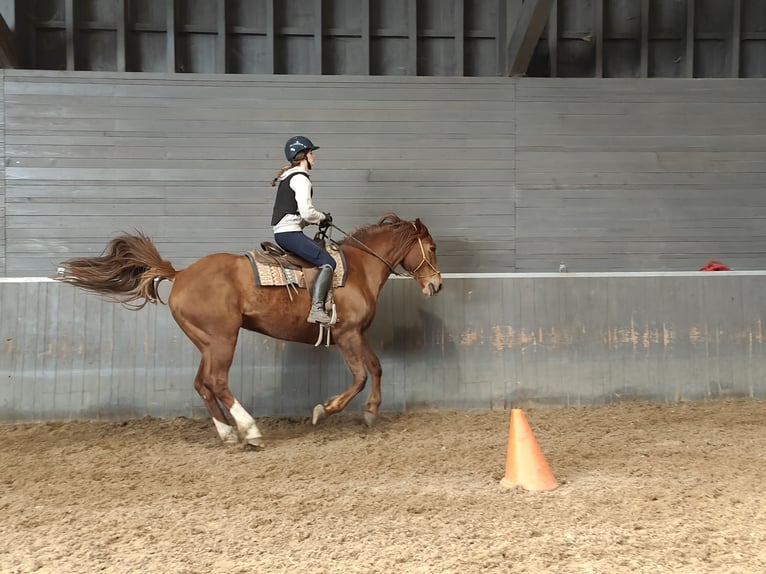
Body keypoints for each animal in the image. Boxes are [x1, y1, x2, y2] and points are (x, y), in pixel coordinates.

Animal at [55, 213, 443, 447]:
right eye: (433, 248)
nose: (436, 285)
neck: (359, 268)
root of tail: (180, 274)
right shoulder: (347, 334)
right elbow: (361, 376)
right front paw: (325, 409)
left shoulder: (357, 334)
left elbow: (376, 368)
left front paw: (371, 412)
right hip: (223, 339)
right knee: (217, 382)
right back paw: (251, 430)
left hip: (207, 343)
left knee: (202, 384)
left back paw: (228, 432)